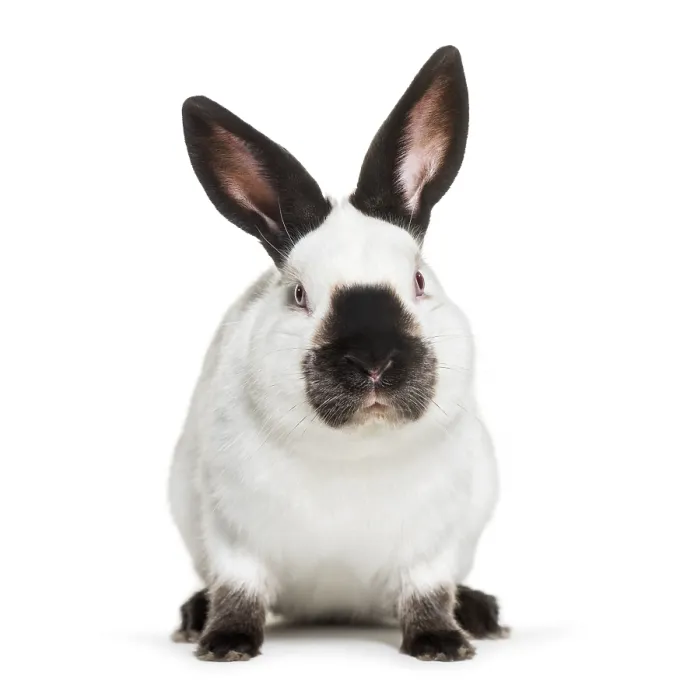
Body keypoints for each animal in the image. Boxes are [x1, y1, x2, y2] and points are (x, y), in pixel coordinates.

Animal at [168, 45, 507, 663]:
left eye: (418, 281)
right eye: (300, 294)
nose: (373, 361)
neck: (356, 454)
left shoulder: (434, 542)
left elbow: (427, 592)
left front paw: (442, 645)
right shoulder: (233, 534)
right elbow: (238, 591)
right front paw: (225, 645)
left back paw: (480, 614)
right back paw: (193, 617)